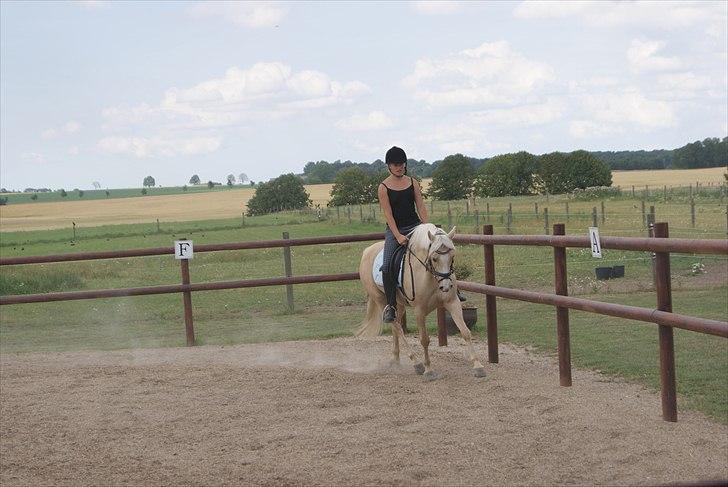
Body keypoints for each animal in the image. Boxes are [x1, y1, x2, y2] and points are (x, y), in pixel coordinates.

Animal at [356, 223, 486, 379]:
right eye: (434, 258)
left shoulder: (452, 302)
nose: (446, 286)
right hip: (381, 300)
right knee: (397, 327)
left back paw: (395, 359)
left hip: (399, 304)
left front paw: (478, 366)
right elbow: (424, 339)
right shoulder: (419, 310)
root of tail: (367, 251)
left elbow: (465, 332)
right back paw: (417, 363)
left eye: (452, 257)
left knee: (395, 326)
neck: (430, 275)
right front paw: (429, 370)